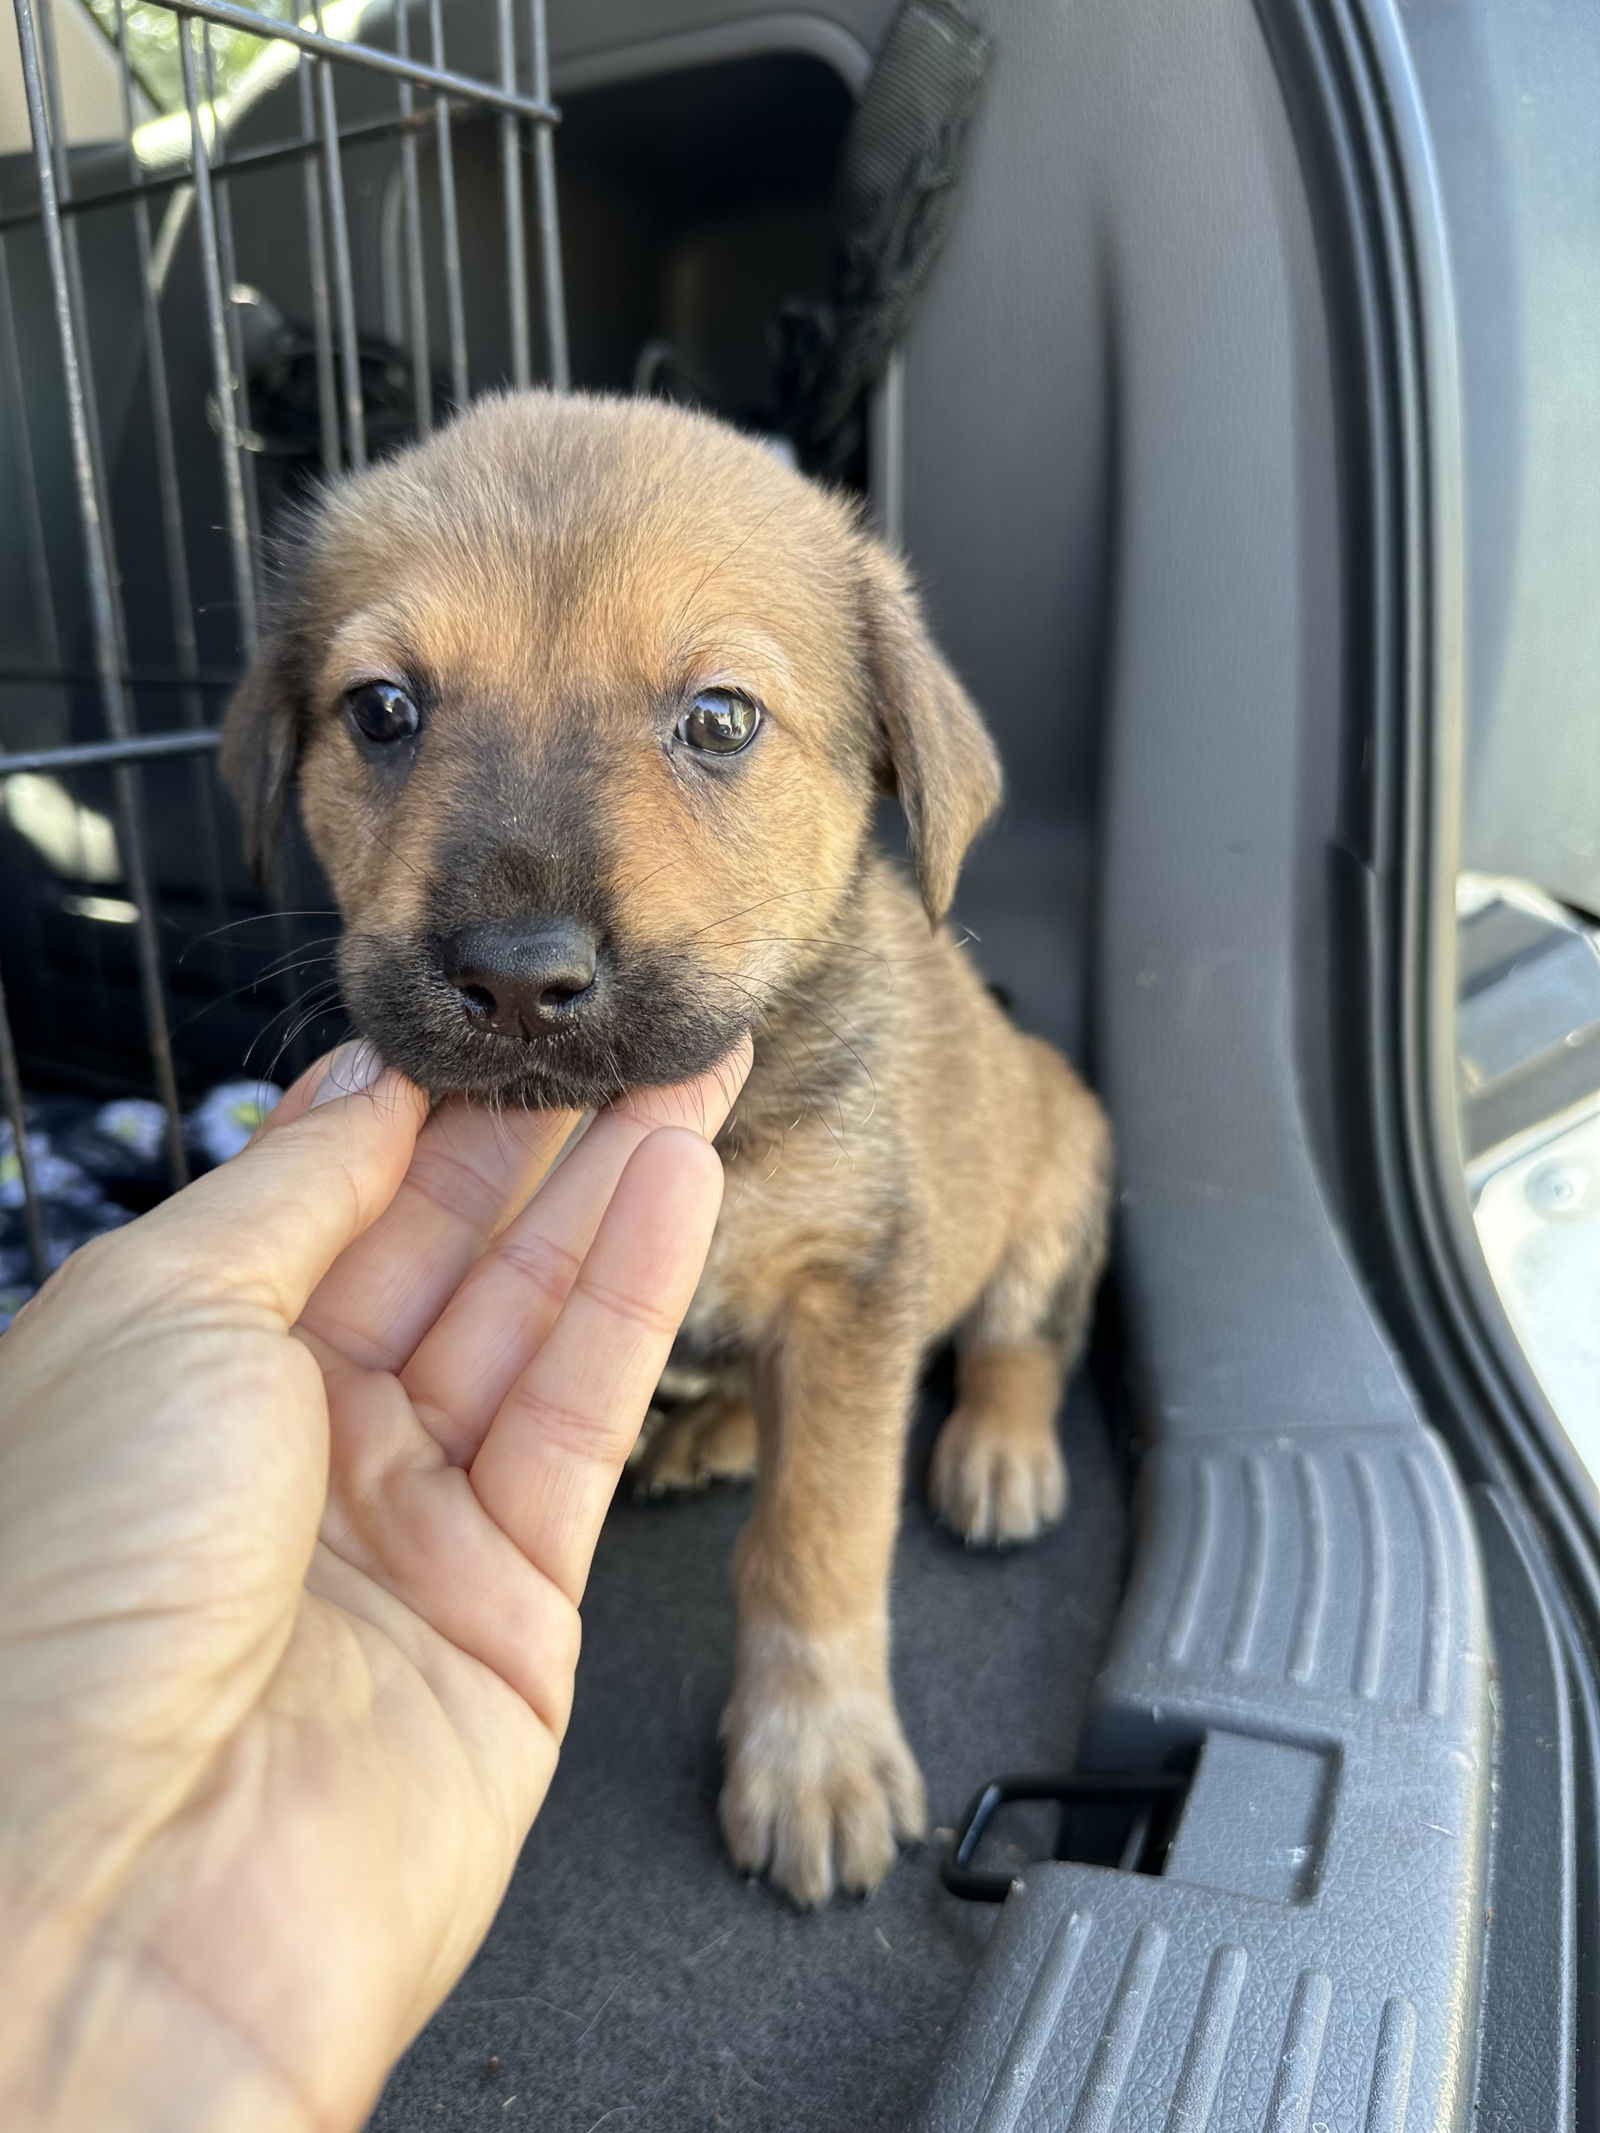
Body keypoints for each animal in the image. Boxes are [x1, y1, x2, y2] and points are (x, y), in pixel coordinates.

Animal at [226, 392, 1117, 1911]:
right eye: (383, 711)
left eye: (719, 719)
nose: (518, 978)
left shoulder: (850, 1284)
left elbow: (817, 1538)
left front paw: (812, 1751)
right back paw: (711, 1425)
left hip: (1061, 1171)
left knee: (1019, 1339)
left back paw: (998, 1454)